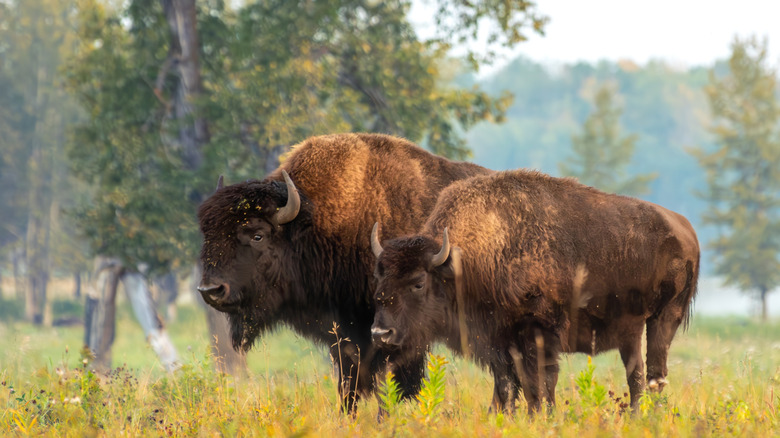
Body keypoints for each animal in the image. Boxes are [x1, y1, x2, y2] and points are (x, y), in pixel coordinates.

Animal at [370, 169, 699, 414]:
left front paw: (543, 416)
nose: (380, 334)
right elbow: (508, 385)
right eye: (379, 276)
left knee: (653, 374)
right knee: (639, 375)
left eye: (418, 282)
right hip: (632, 329)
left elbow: (539, 384)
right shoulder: (498, 342)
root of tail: (686, 230)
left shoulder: (539, 332)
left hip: (664, 319)